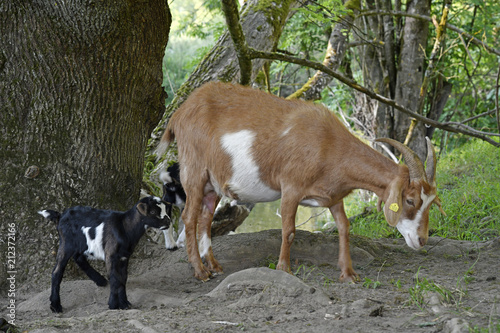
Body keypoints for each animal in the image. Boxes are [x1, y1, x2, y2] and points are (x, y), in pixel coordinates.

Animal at [156, 81, 442, 282]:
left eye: (431, 203)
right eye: (410, 200)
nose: (422, 240)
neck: (328, 143)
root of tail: (180, 113)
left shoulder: (334, 196)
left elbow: (344, 227)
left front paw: (348, 274)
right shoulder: (291, 188)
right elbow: (289, 230)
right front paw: (284, 268)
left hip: (213, 184)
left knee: (205, 217)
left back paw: (214, 266)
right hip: (194, 171)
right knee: (189, 218)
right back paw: (199, 271)